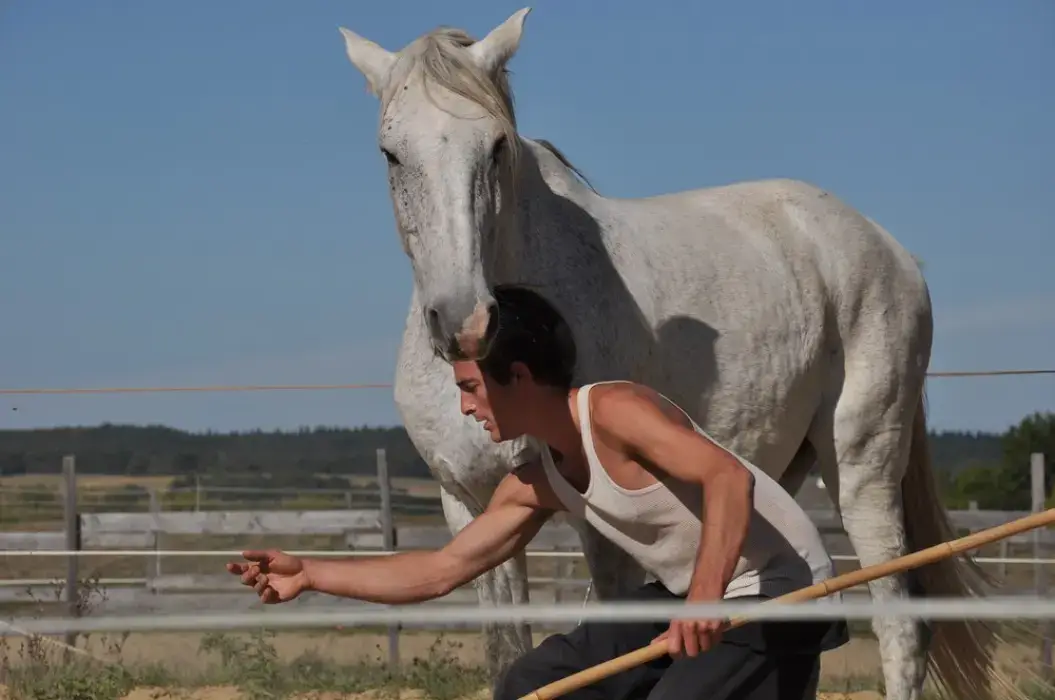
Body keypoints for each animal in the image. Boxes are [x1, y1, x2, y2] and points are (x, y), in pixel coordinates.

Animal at [336, 9, 1002, 700]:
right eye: (390, 152)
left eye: (495, 146)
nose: (464, 320)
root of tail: (890, 249)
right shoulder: (468, 504)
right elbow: (504, 651)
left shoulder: (601, 539)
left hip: (863, 468)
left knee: (901, 628)